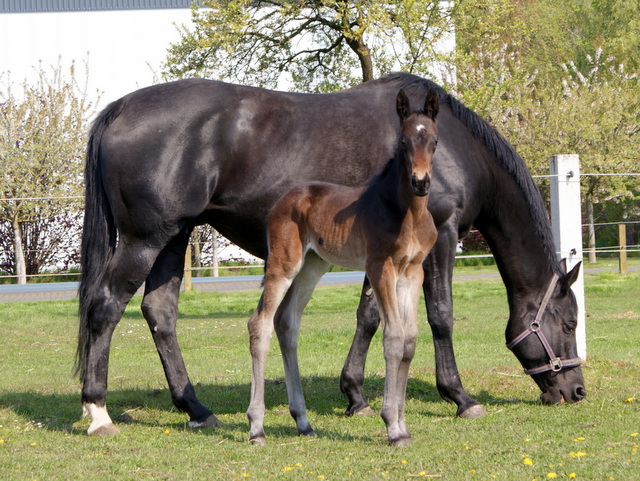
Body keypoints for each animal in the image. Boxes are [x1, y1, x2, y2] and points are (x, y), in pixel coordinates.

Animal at [75, 72, 584, 436]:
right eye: (569, 322)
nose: (575, 390)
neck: (453, 149)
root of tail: (121, 108)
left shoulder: (380, 253)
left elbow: (370, 317)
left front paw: (355, 396)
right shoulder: (441, 239)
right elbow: (440, 315)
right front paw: (460, 397)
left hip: (173, 236)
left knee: (159, 311)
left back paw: (195, 407)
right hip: (145, 239)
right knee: (105, 308)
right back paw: (98, 411)